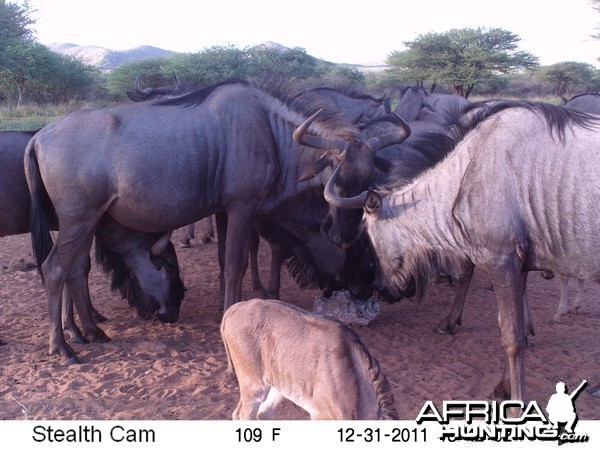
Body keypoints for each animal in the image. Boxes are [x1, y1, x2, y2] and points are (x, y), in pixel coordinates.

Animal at [220, 298, 398, 420]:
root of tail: (234, 308)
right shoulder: (321, 415)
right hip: (254, 384)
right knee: (242, 414)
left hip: (278, 383)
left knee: (263, 412)